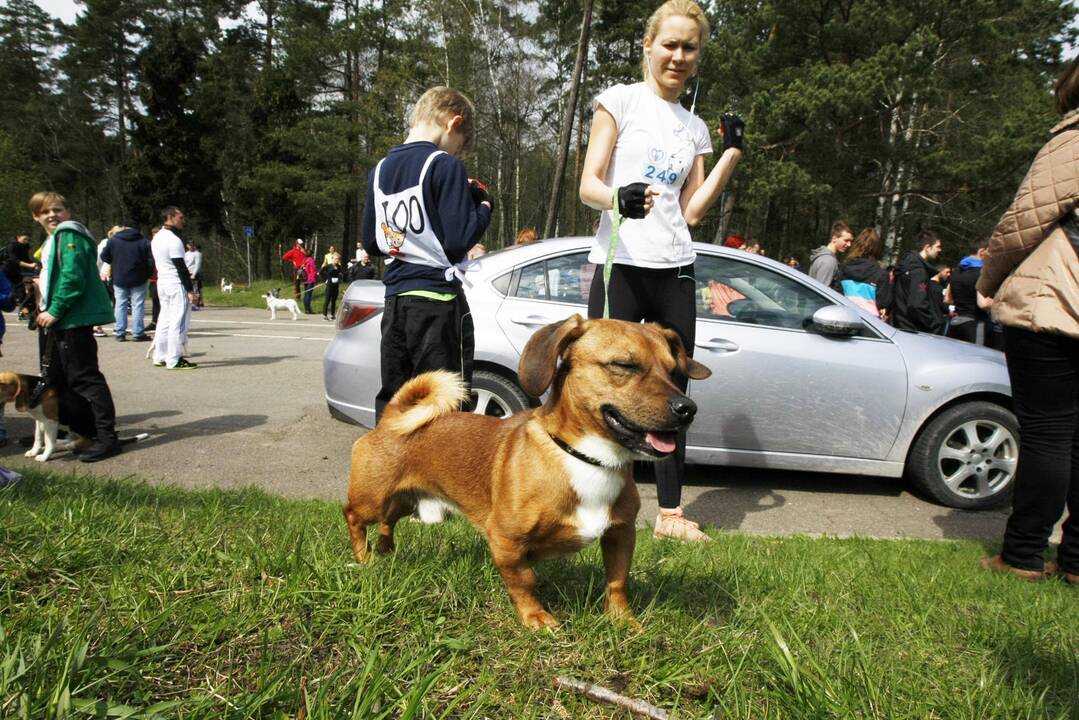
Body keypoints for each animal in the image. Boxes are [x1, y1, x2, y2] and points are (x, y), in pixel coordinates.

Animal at [343, 313, 707, 626]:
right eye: (624, 365)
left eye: (674, 371)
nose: (688, 408)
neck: (589, 460)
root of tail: (392, 416)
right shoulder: (505, 541)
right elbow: (524, 581)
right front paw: (536, 618)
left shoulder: (621, 534)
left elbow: (617, 582)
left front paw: (623, 621)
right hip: (371, 499)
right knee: (354, 516)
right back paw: (363, 558)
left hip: (405, 499)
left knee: (389, 521)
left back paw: (386, 551)